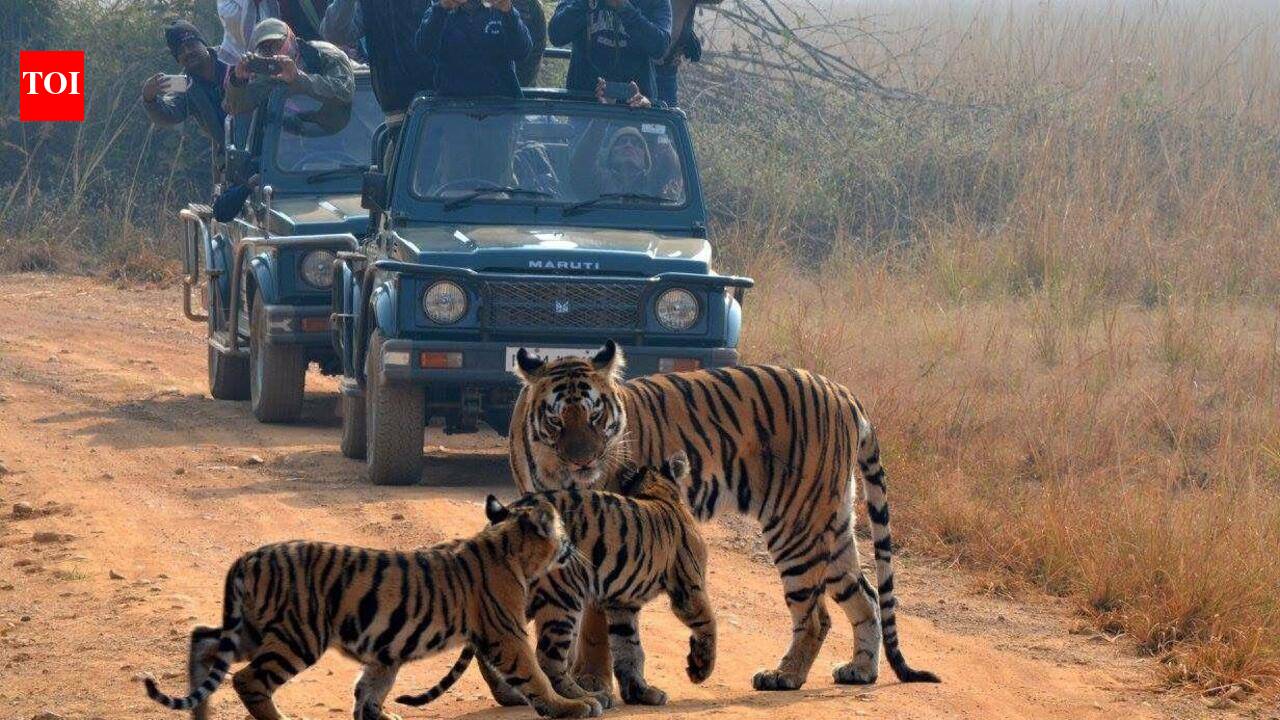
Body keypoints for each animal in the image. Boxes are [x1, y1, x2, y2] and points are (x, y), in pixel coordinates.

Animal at [140, 499, 605, 720]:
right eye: (565, 533)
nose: (575, 549)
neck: (511, 545)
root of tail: (248, 556)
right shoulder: (507, 634)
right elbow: (536, 675)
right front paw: (573, 707)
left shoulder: (387, 651)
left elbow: (370, 690)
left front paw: (380, 714)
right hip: (297, 636)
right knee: (247, 680)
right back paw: (279, 719)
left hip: (252, 629)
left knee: (203, 640)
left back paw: (201, 713)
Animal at [398, 451, 716, 709]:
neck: (658, 493)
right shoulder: (689, 585)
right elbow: (708, 624)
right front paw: (700, 670)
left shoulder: (622, 603)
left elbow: (629, 648)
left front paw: (641, 693)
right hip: (564, 596)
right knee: (547, 658)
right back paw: (587, 699)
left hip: (518, 596)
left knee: (493, 650)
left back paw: (511, 696)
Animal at [508, 340, 940, 693]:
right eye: (557, 420)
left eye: (596, 416)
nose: (585, 460)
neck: (558, 470)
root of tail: (842, 390)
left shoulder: (609, 534)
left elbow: (595, 618)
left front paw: (591, 680)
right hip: (832, 527)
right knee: (866, 595)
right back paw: (860, 670)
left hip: (797, 526)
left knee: (816, 615)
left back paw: (784, 676)